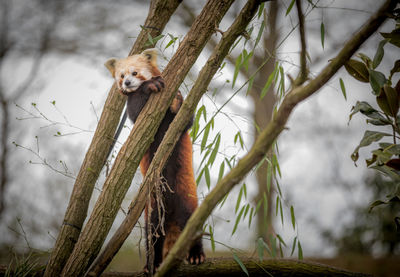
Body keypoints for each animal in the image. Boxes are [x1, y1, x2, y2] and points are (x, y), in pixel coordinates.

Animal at [104, 49, 205, 270]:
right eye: (121, 76)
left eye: (134, 72)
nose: (127, 83)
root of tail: (171, 213)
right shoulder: (136, 113)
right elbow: (136, 111)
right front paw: (149, 86)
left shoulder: (180, 125)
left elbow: (186, 120)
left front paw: (176, 101)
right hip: (151, 207)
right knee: (153, 234)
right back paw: (154, 262)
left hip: (186, 194)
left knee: (191, 222)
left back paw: (196, 255)